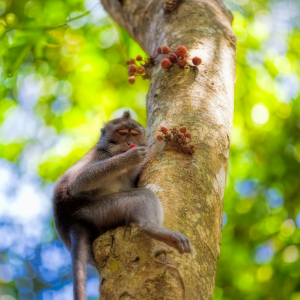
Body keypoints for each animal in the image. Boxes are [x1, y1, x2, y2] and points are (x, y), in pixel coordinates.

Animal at [52, 112, 191, 300]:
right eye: (122, 133)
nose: (128, 143)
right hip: (99, 210)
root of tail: (70, 221)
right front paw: (130, 157)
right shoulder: (99, 157)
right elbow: (77, 184)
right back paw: (153, 229)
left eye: (134, 134)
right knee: (143, 196)